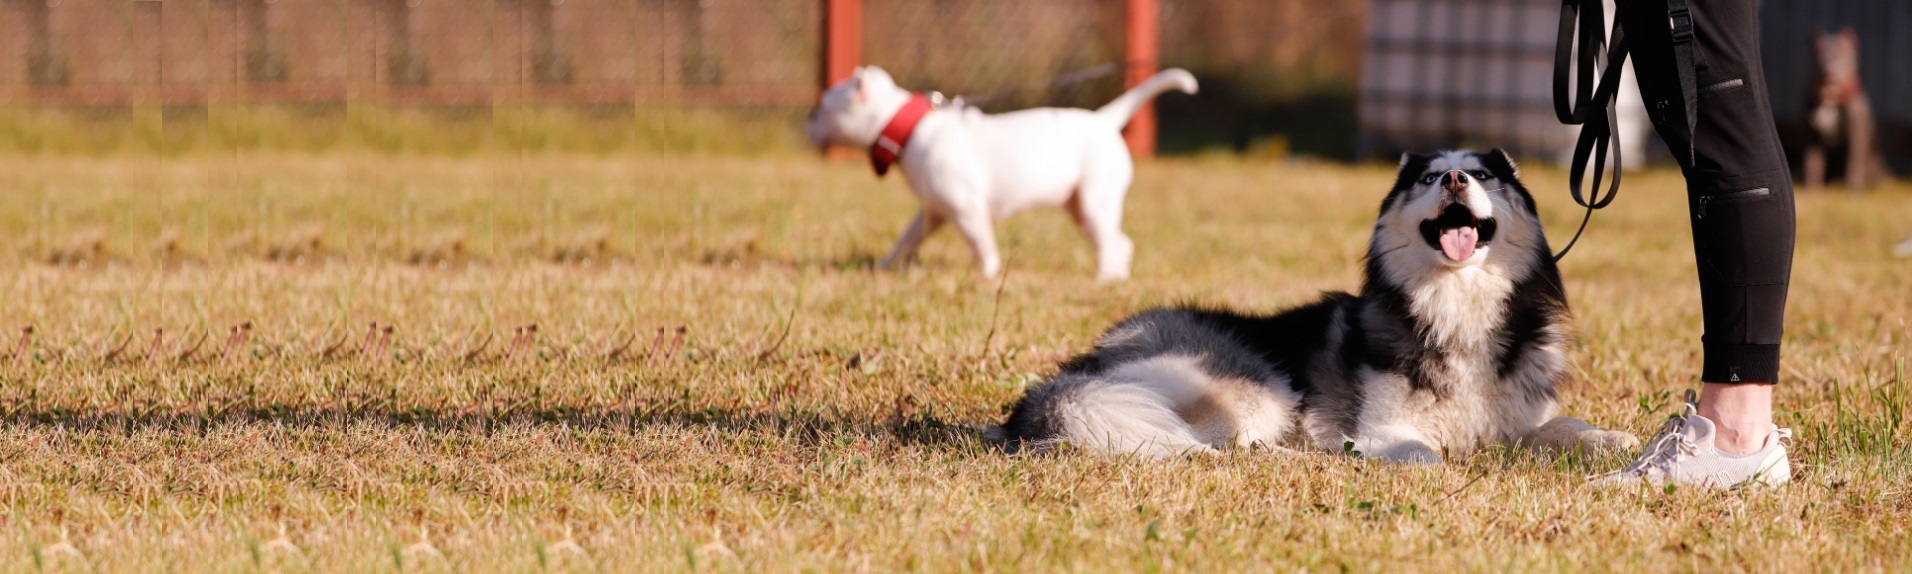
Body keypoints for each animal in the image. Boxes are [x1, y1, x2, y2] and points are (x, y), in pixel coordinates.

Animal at [803, 66, 1193, 281]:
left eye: (823, 107)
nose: (809, 117)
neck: (910, 129)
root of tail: (1105, 120)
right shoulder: (932, 212)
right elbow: (907, 239)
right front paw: (885, 264)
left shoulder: (966, 211)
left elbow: (981, 245)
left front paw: (987, 274)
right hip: (1081, 210)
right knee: (1121, 242)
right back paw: (1115, 277)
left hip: (1096, 204)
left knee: (1111, 242)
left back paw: (1103, 277)